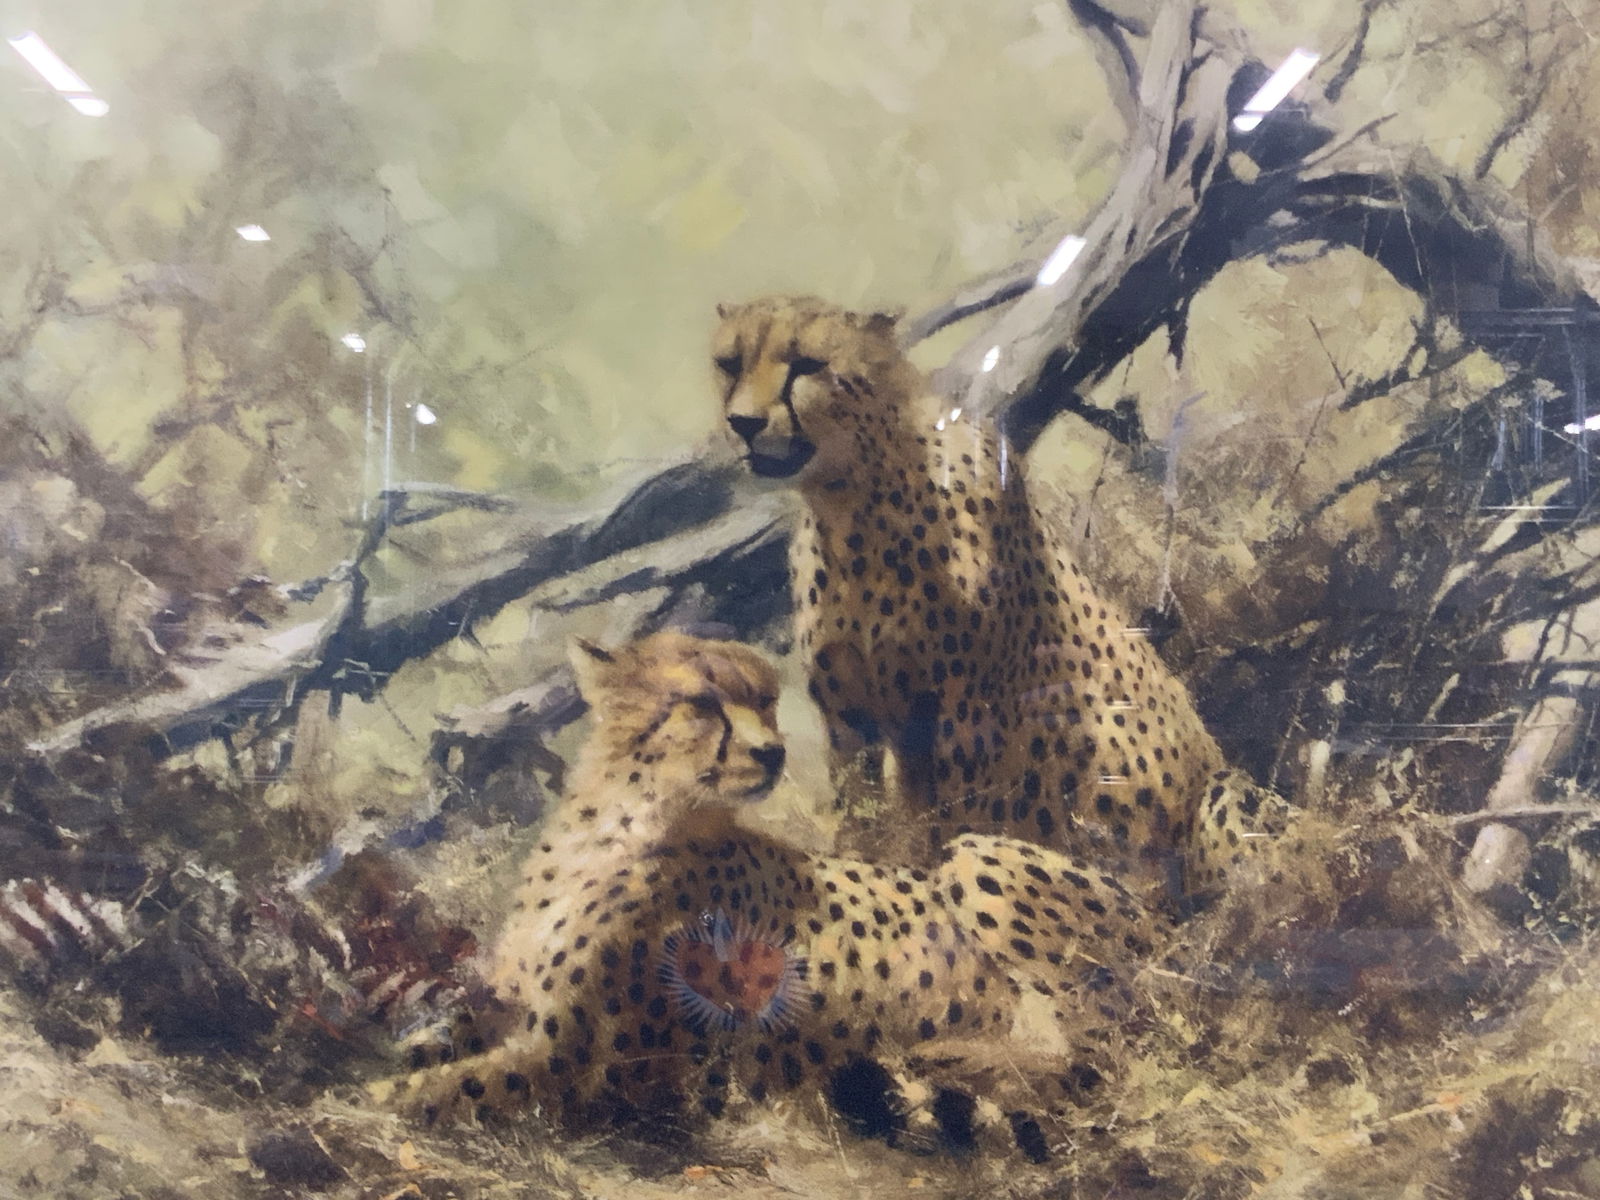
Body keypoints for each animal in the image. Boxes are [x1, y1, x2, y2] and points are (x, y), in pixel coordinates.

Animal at [378, 632, 1167, 1159]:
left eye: (764, 700)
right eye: (702, 703)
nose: (772, 752)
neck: (623, 826)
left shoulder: (577, 1057)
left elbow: (452, 1089)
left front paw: (368, 1103)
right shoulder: (515, 1005)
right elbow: (440, 1039)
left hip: (976, 861)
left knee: (1098, 1050)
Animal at [713, 294, 1292, 906]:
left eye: (806, 365)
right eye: (729, 363)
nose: (743, 423)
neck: (851, 501)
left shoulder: (966, 708)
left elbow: (970, 814)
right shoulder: (849, 715)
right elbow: (861, 815)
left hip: (1222, 793)